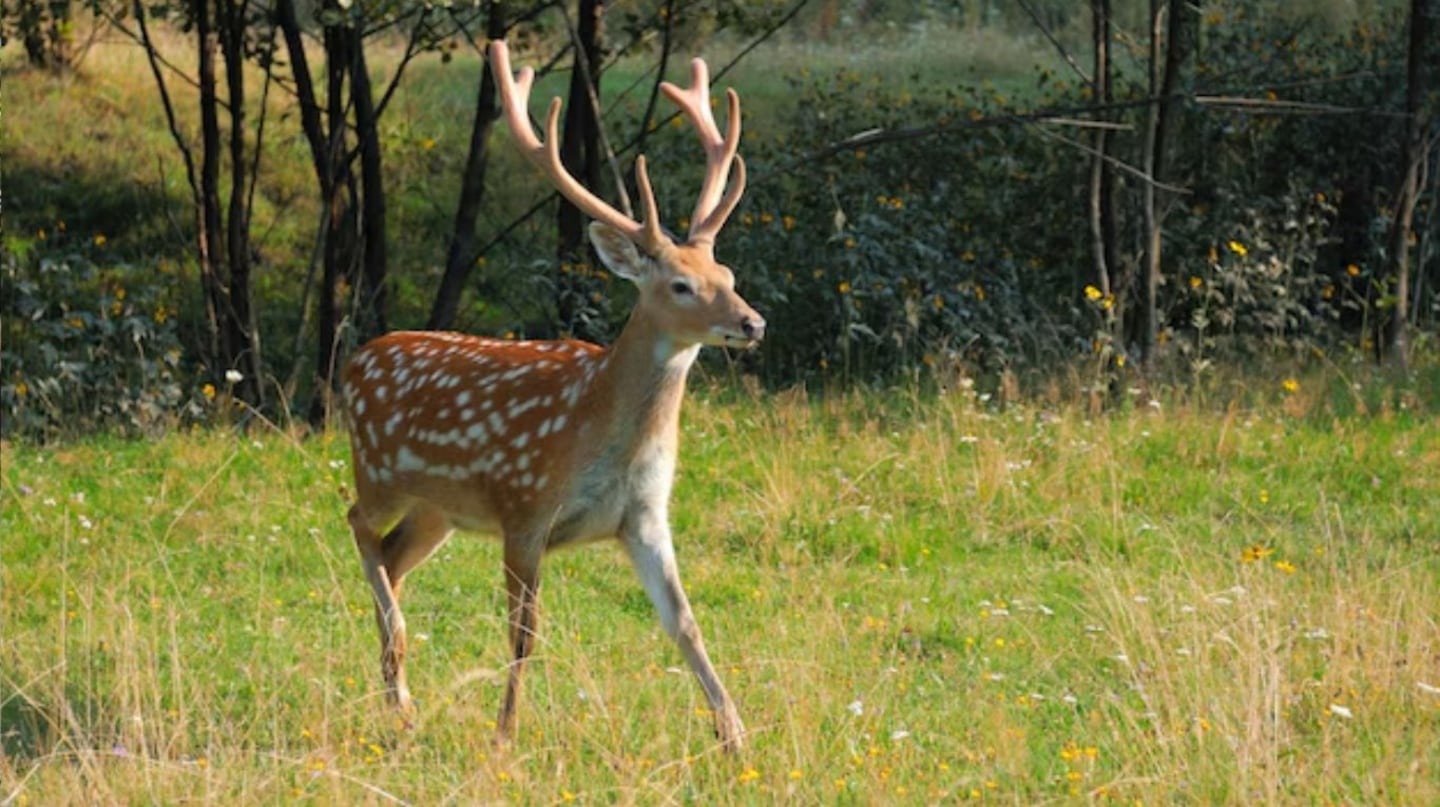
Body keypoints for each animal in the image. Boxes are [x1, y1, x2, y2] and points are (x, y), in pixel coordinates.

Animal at [339, 39, 766, 749]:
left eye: (727, 273)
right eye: (679, 285)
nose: (752, 323)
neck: (602, 434)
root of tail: (353, 362)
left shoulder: (645, 516)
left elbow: (685, 622)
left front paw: (734, 735)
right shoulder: (524, 505)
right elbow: (524, 633)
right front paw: (505, 735)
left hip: (439, 510)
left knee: (393, 558)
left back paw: (397, 698)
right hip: (380, 471)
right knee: (357, 526)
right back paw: (399, 679)